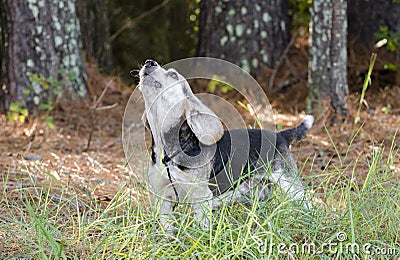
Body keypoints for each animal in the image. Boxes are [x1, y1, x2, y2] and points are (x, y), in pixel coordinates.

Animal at [136, 59, 314, 232]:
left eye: (173, 74)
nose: (149, 62)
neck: (168, 151)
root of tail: (281, 135)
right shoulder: (163, 197)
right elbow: (166, 227)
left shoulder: (201, 197)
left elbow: (202, 227)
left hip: (290, 184)